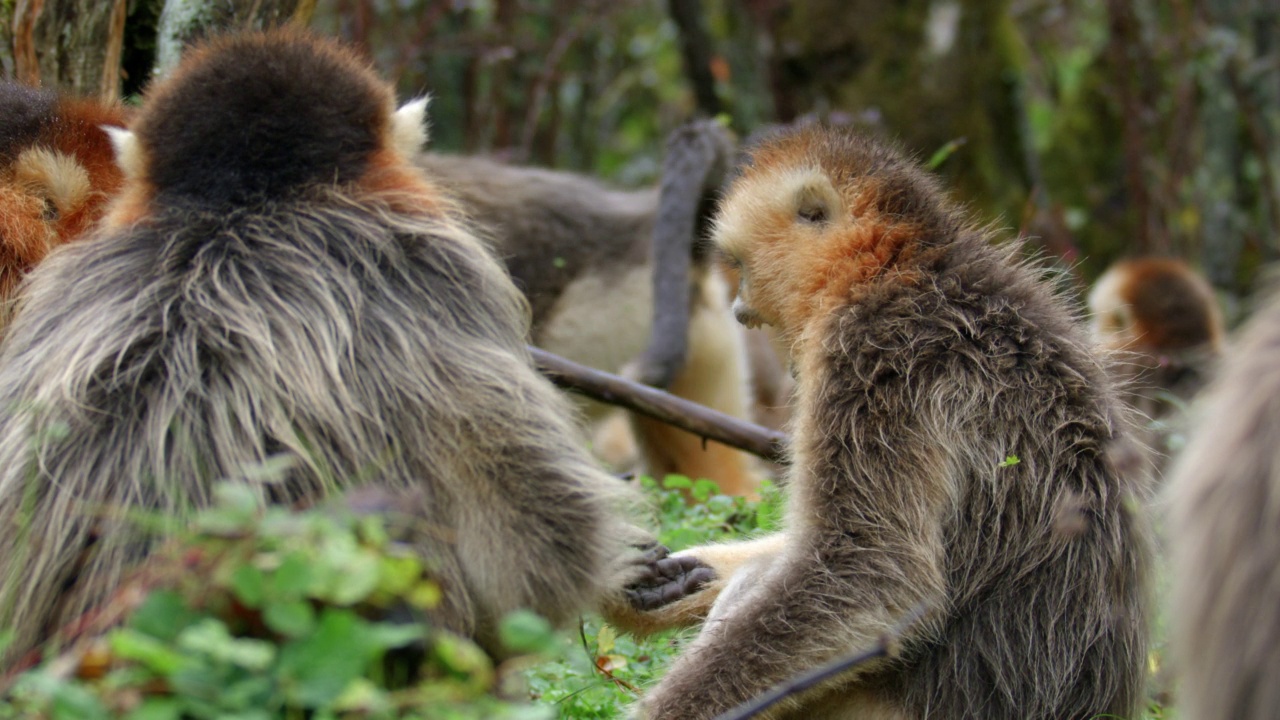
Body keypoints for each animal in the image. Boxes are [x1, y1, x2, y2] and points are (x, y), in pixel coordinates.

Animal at [614, 126, 1157, 712]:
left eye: (740, 266)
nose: (740, 310)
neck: (905, 265)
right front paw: (670, 580)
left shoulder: (876, 352)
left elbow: (871, 579)